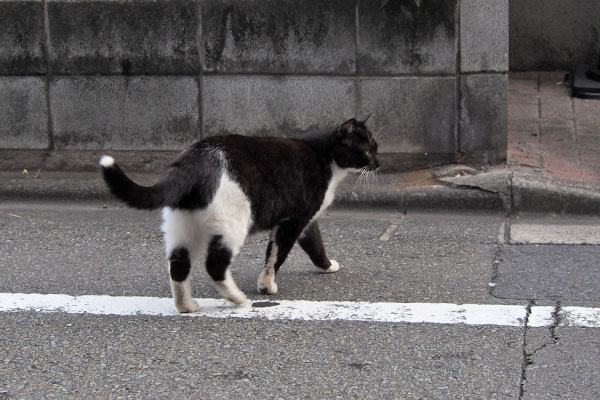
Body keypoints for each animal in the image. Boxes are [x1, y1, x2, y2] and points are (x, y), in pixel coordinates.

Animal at [99, 115, 380, 312]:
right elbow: (276, 254)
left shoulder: (306, 221)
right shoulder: (294, 219)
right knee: (214, 265)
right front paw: (266, 286)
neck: (325, 157)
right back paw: (237, 298)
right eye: (367, 150)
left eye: (375, 149)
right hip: (233, 223)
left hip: (181, 226)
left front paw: (327, 265)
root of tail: (194, 159)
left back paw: (186, 306)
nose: (379, 163)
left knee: (178, 264)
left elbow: (315, 245)